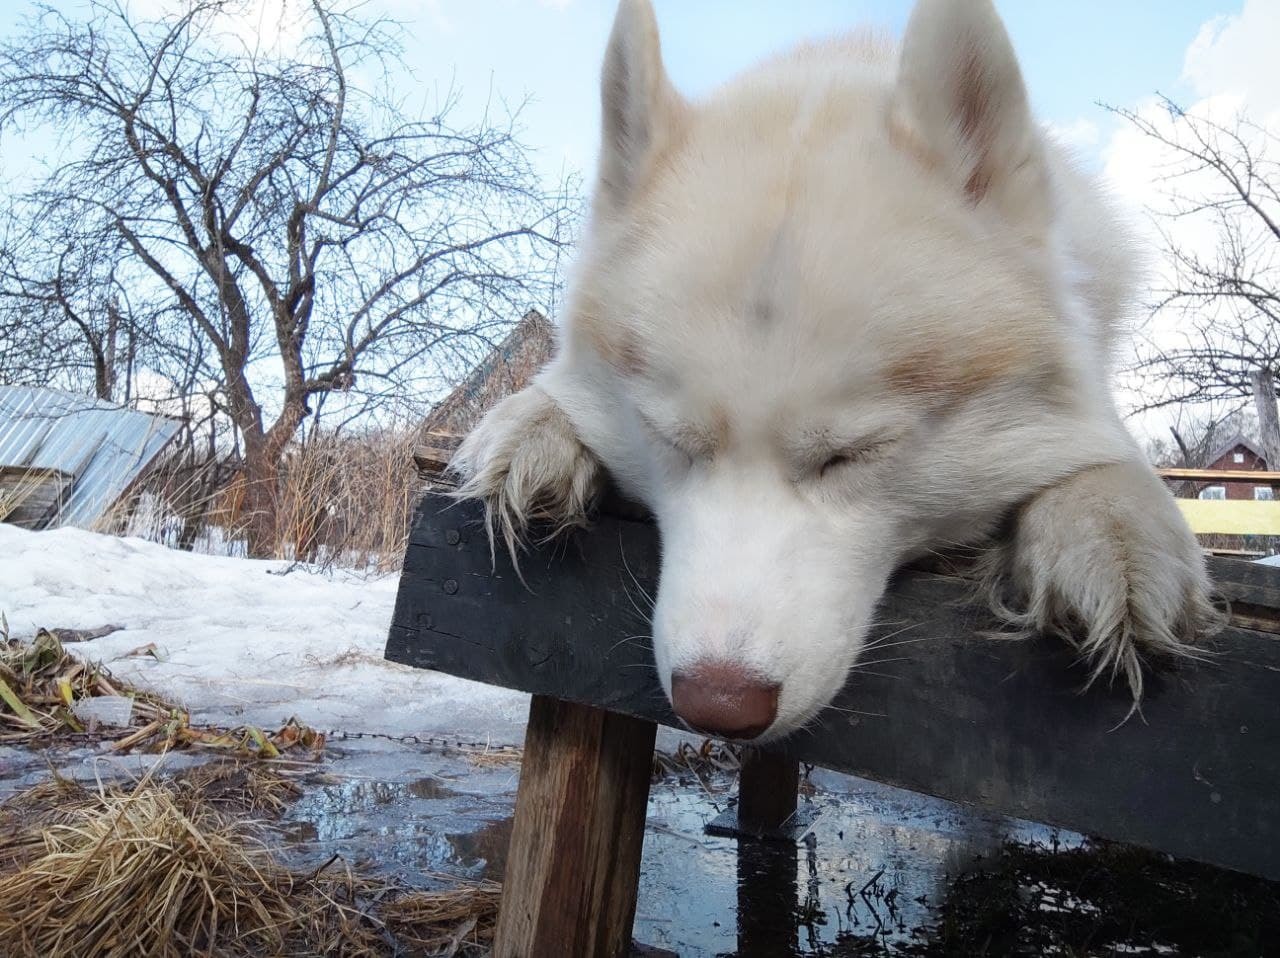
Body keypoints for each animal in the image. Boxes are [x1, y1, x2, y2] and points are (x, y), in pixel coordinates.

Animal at [455, 0, 1223, 742]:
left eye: (851, 456)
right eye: (670, 441)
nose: (719, 703)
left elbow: (1104, 457)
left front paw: (1115, 524)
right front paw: (534, 424)